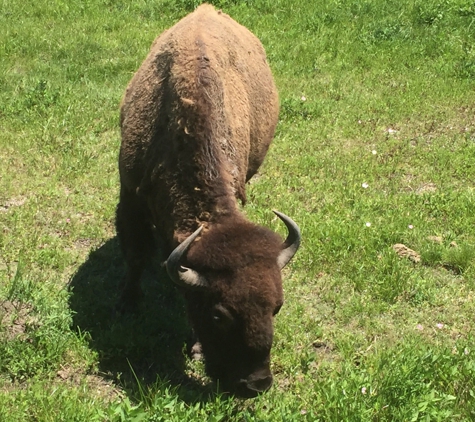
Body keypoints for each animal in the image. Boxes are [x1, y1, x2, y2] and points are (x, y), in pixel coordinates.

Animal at [116, 3, 302, 398]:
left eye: (276, 307)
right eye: (218, 314)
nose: (256, 384)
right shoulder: (130, 199)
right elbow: (135, 255)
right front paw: (127, 303)